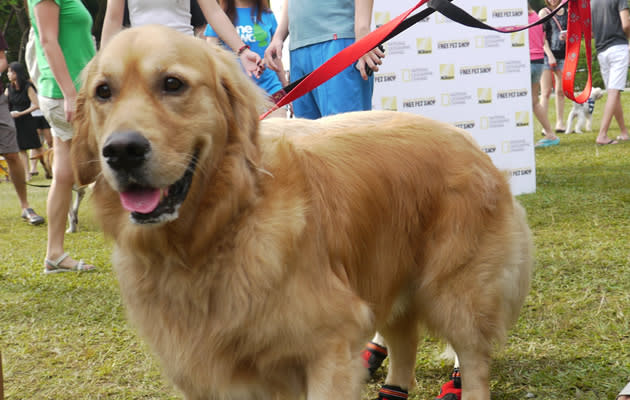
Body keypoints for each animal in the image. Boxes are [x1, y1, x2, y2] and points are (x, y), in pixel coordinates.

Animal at [71, 26, 536, 400]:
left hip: (457, 293)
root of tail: (473, 145)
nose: (122, 151)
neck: (215, 231)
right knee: (404, 345)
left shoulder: (329, 345)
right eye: (103, 92)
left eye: (172, 83)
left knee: (473, 363)